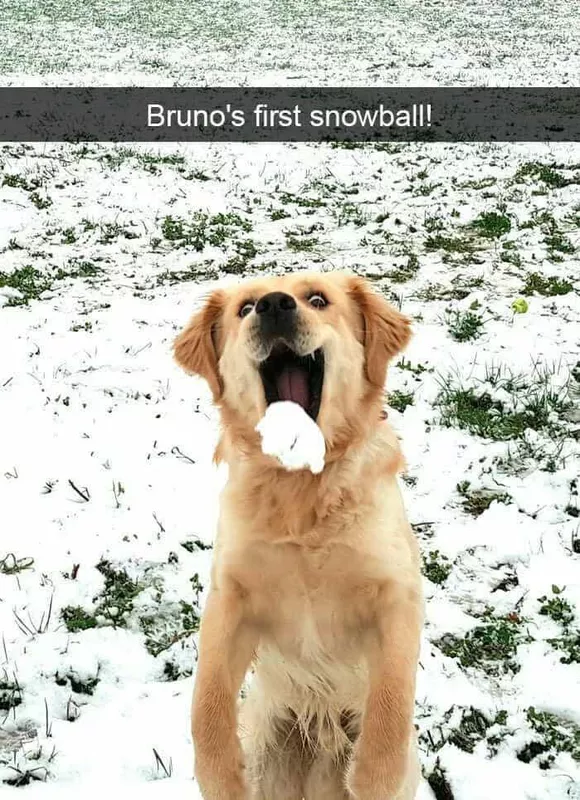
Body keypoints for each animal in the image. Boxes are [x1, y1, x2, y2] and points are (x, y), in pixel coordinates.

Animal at [174, 272, 424, 796]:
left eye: (317, 299)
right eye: (245, 307)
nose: (273, 305)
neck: (301, 486)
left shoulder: (397, 593)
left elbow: (391, 702)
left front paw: (373, 774)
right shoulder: (231, 595)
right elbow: (206, 699)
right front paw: (220, 775)